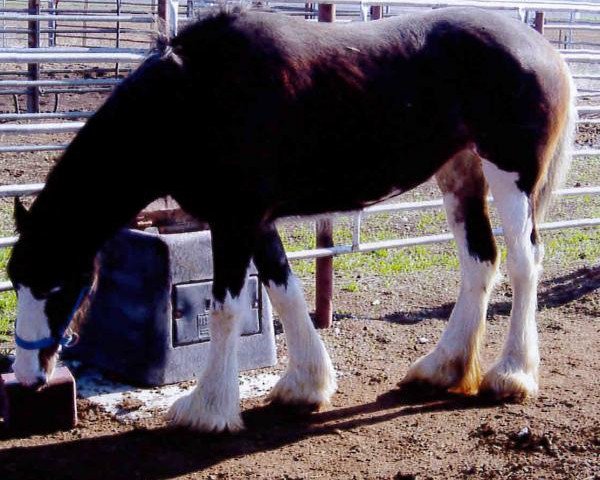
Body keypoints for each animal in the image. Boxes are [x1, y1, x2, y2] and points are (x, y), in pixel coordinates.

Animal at [7, 5, 576, 434]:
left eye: (58, 286)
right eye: (16, 281)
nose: (29, 376)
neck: (195, 97)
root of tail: (542, 49)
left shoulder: (234, 220)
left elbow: (225, 307)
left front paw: (207, 409)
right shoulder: (254, 221)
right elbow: (283, 289)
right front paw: (306, 385)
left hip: (510, 176)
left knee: (524, 263)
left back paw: (512, 376)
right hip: (459, 172)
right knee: (480, 261)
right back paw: (440, 369)